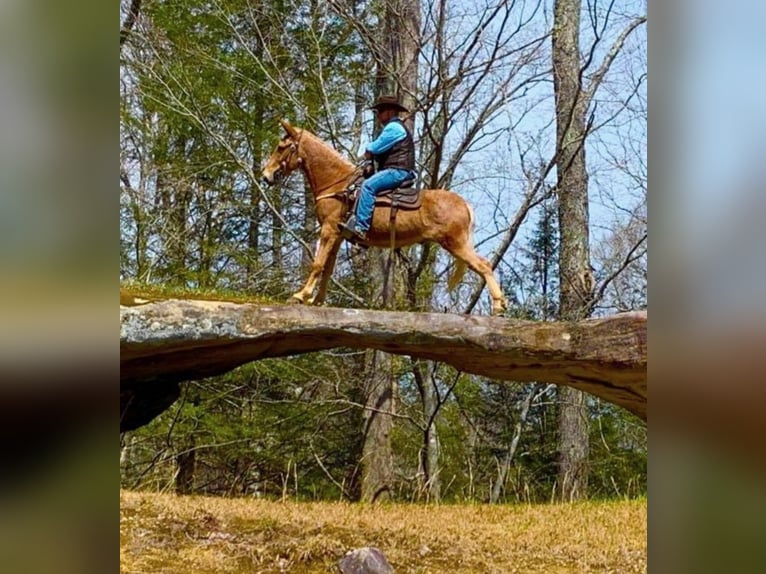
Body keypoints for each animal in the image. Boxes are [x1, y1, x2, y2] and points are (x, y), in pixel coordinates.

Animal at [262, 120, 510, 318]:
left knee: (484, 265)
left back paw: (498, 307)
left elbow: (317, 264)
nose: (266, 176)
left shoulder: (329, 230)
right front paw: (317, 300)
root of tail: (464, 204)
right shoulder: (337, 235)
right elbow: (327, 268)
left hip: (455, 243)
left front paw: (300, 295)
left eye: (281, 147)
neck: (338, 184)